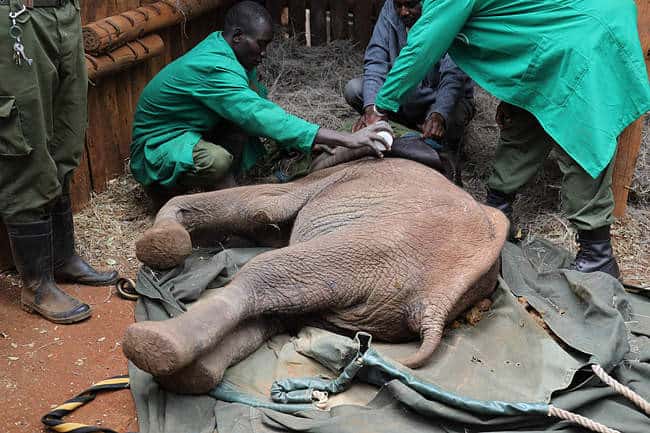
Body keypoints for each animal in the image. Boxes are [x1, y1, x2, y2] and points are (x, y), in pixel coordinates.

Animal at [123, 157, 509, 394]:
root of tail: (437, 306)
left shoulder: (316, 181)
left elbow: (260, 206)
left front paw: (162, 244)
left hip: (377, 244)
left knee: (264, 274)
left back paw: (156, 346)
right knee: (278, 314)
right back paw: (193, 376)